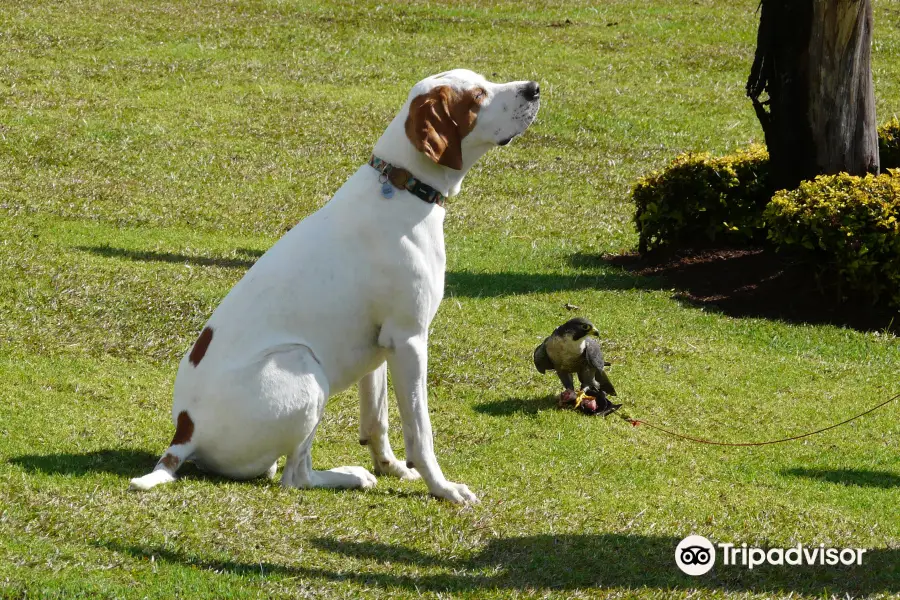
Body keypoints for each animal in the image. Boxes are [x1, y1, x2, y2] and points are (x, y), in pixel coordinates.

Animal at [129, 69, 536, 502]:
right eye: (477, 96)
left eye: (485, 81)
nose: (534, 88)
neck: (402, 186)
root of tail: (183, 434)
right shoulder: (409, 340)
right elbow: (420, 432)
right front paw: (442, 488)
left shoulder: (381, 347)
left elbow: (377, 421)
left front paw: (392, 467)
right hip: (303, 366)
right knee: (297, 476)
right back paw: (350, 476)